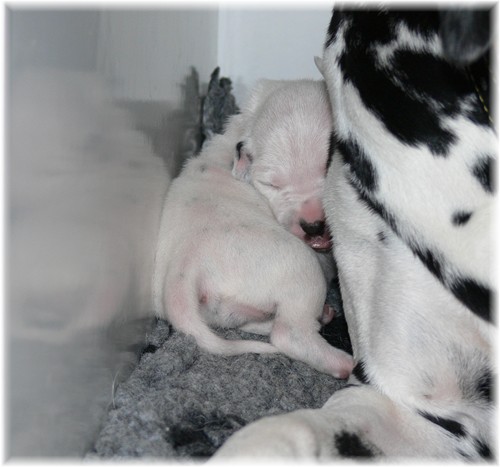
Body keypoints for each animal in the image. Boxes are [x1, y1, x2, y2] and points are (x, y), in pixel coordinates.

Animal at [152, 92, 353, 379]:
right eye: (273, 184)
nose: (314, 226)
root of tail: (184, 265)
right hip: (302, 270)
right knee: (288, 333)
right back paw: (345, 362)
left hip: (227, 311)